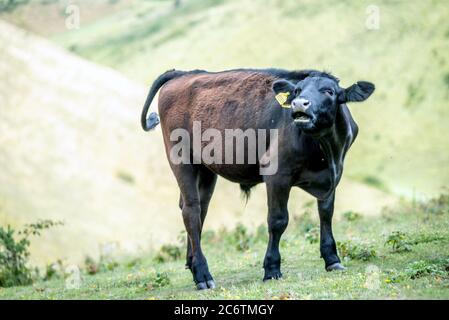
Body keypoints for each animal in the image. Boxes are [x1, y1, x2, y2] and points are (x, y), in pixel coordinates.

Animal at [141, 69, 374, 290]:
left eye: (329, 91)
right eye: (297, 90)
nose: (299, 103)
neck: (327, 150)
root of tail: (183, 74)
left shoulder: (332, 176)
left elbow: (326, 213)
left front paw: (332, 259)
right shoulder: (276, 174)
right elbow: (278, 220)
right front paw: (271, 269)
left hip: (206, 170)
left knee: (199, 210)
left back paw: (192, 264)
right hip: (181, 160)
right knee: (191, 211)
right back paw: (203, 275)